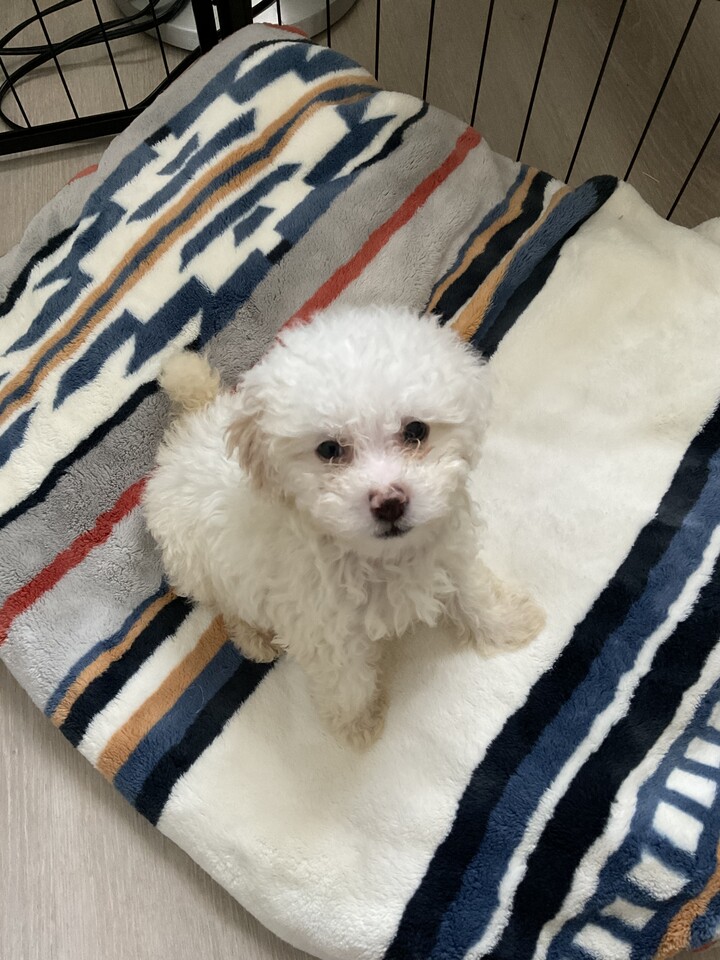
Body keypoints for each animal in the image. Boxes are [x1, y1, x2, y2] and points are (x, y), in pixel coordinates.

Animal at [143, 305, 544, 748]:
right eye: (330, 449)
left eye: (415, 430)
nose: (389, 502)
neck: (380, 557)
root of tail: (196, 422)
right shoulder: (325, 627)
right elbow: (346, 679)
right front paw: (357, 724)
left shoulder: (448, 552)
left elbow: (474, 592)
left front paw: (509, 624)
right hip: (199, 564)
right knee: (228, 604)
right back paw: (254, 638)